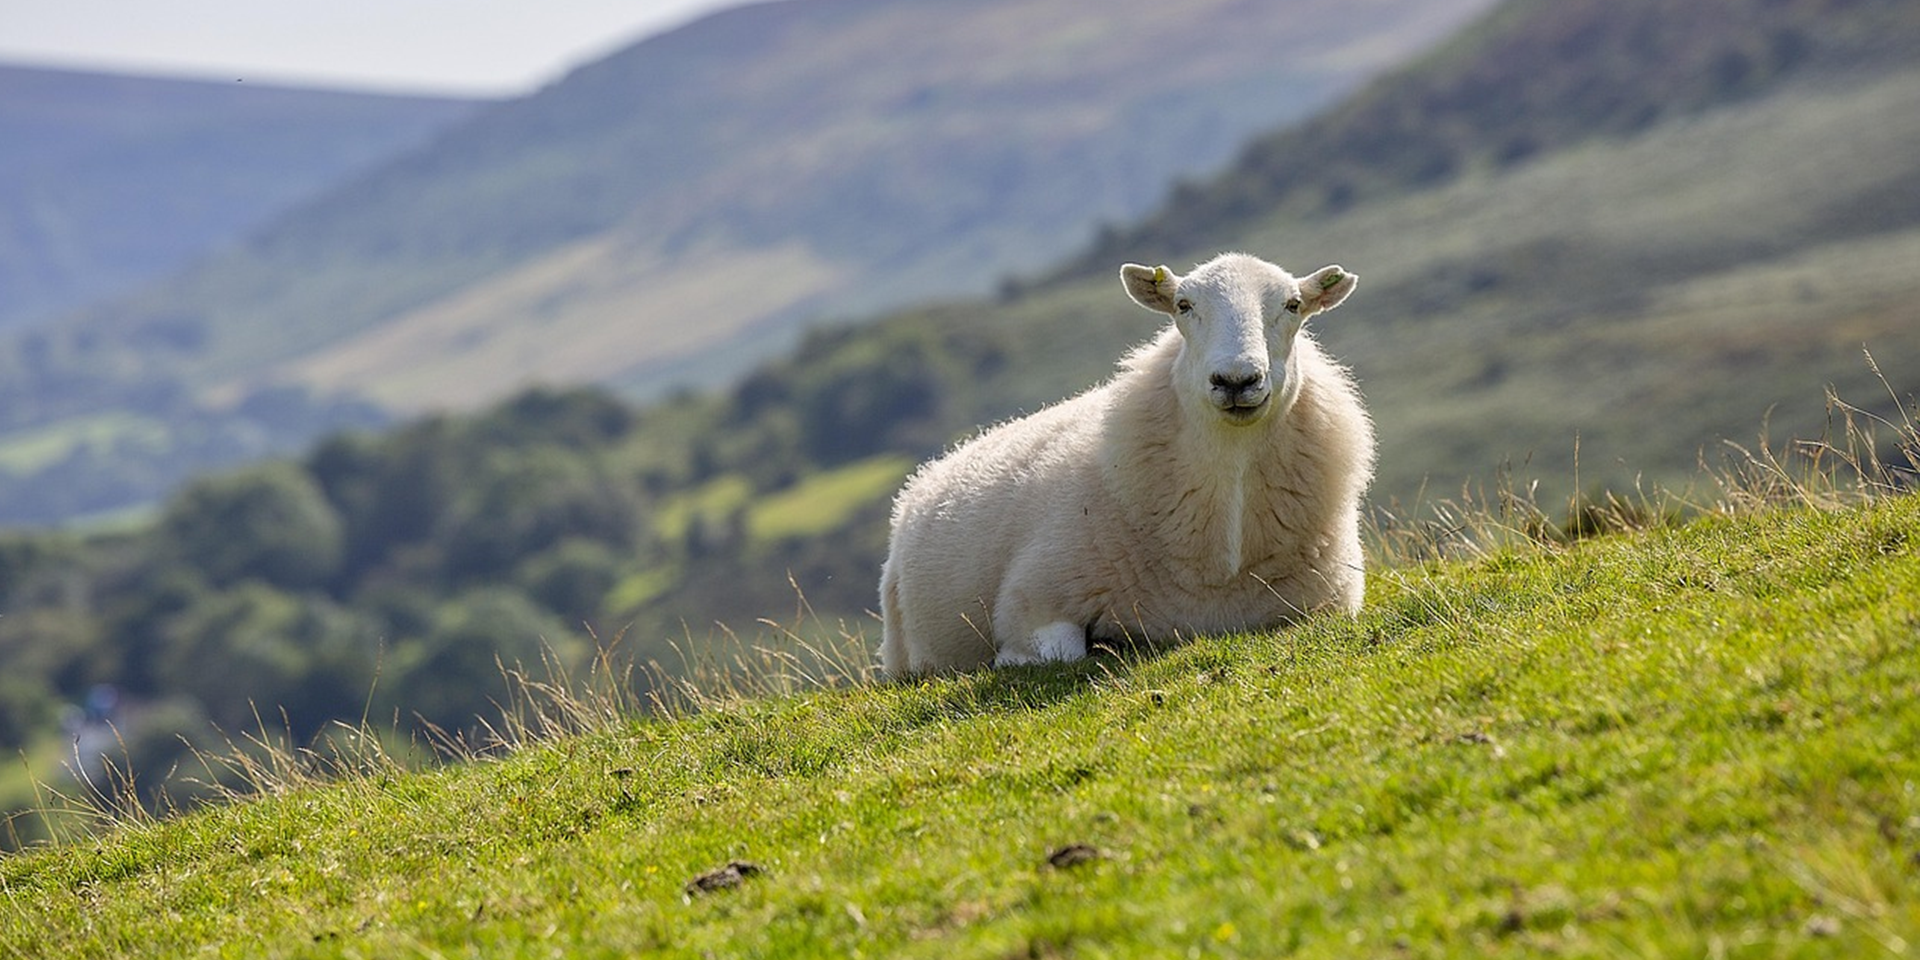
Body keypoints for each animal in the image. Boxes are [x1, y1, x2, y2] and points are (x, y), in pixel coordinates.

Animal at [877, 252, 1374, 675]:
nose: (1236, 380)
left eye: (1293, 305)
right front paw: (1012, 660)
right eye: (1183, 305)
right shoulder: (1033, 600)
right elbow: (1060, 652)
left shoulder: (1330, 605)